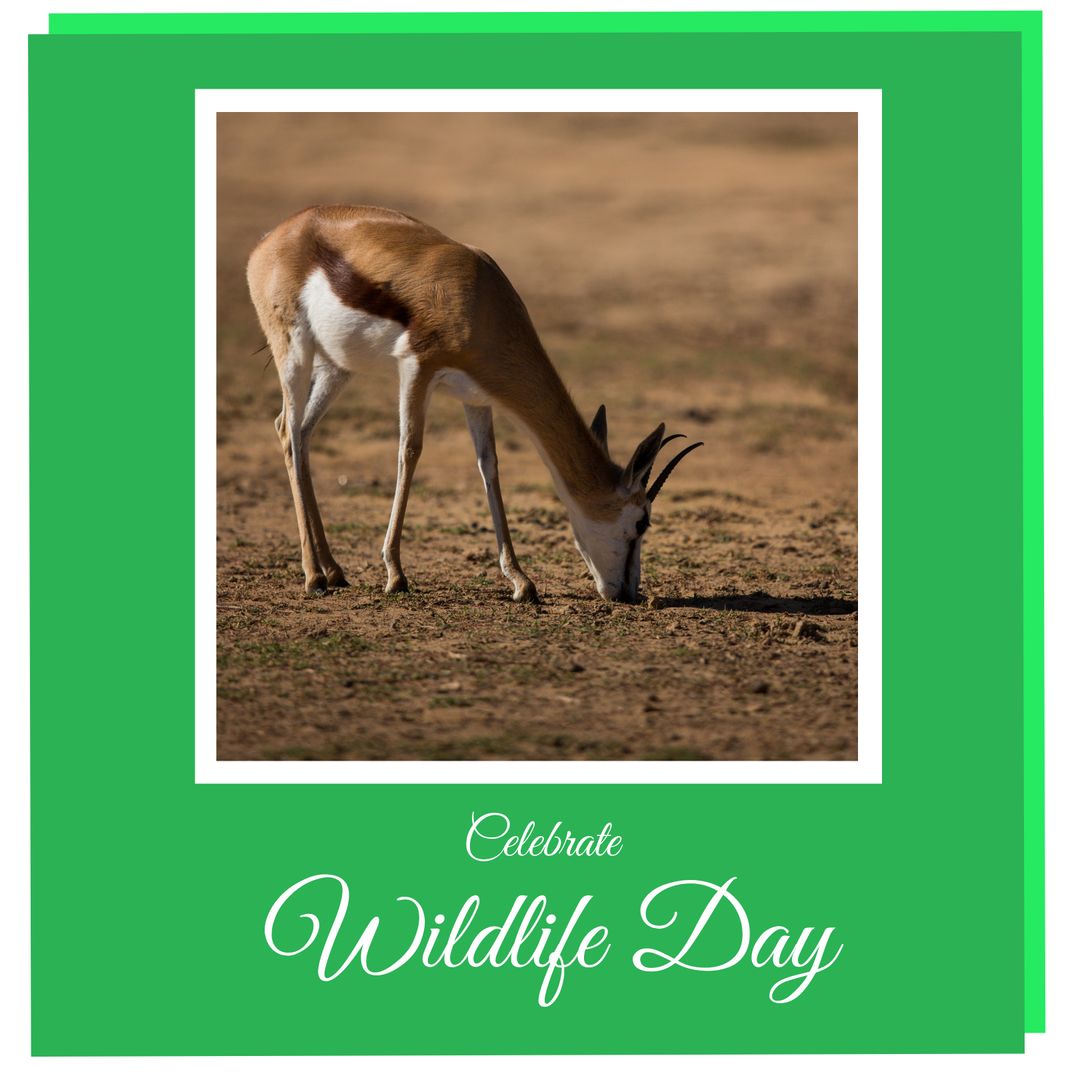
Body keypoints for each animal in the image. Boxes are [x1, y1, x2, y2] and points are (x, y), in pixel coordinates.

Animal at [245, 205, 702, 604]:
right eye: (641, 521)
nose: (628, 592)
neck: (479, 299)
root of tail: (272, 238)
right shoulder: (416, 368)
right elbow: (409, 452)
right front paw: (395, 574)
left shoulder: (477, 398)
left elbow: (490, 468)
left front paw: (521, 581)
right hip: (295, 352)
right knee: (288, 430)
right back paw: (313, 576)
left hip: (338, 368)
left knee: (297, 432)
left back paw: (334, 570)